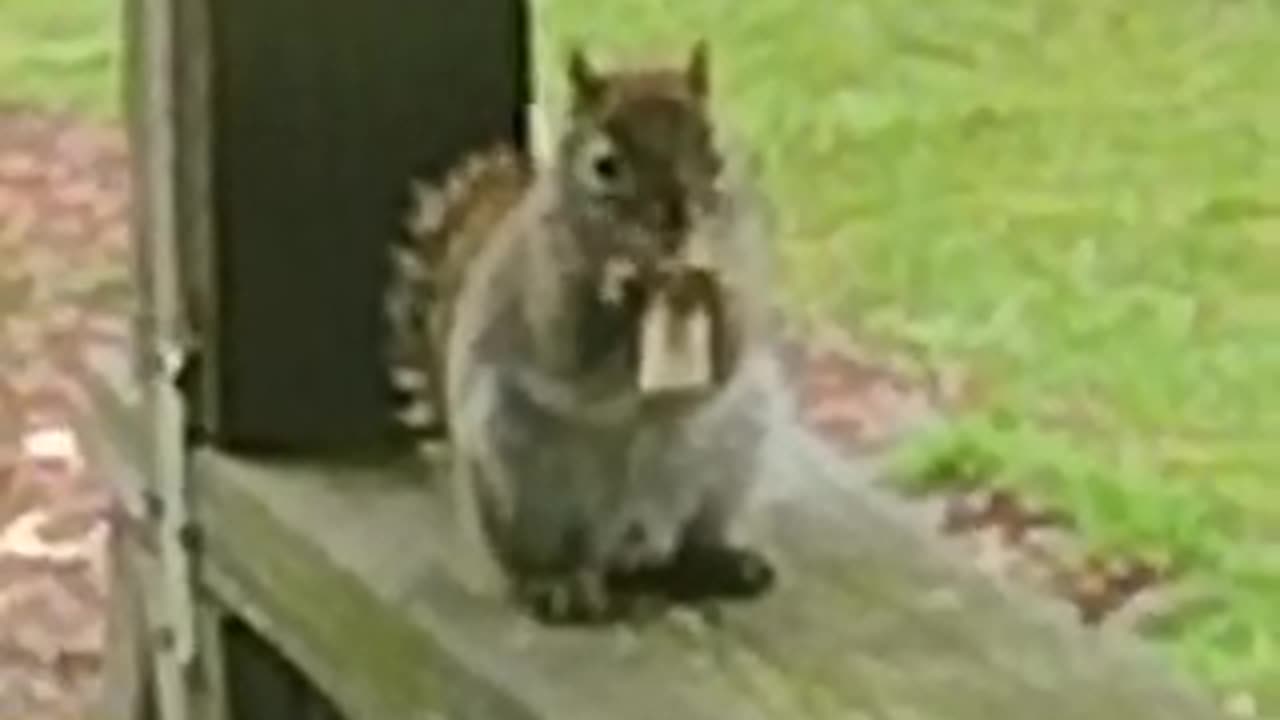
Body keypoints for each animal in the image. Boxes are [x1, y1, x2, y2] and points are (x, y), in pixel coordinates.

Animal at [386, 41, 786, 623]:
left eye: (714, 151)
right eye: (605, 166)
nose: (677, 220)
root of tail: (624, 540)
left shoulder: (746, 260)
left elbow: (733, 340)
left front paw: (713, 292)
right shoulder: (538, 280)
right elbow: (568, 343)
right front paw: (617, 289)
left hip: (731, 452)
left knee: (686, 544)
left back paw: (720, 563)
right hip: (516, 470)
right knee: (536, 559)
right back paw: (557, 585)